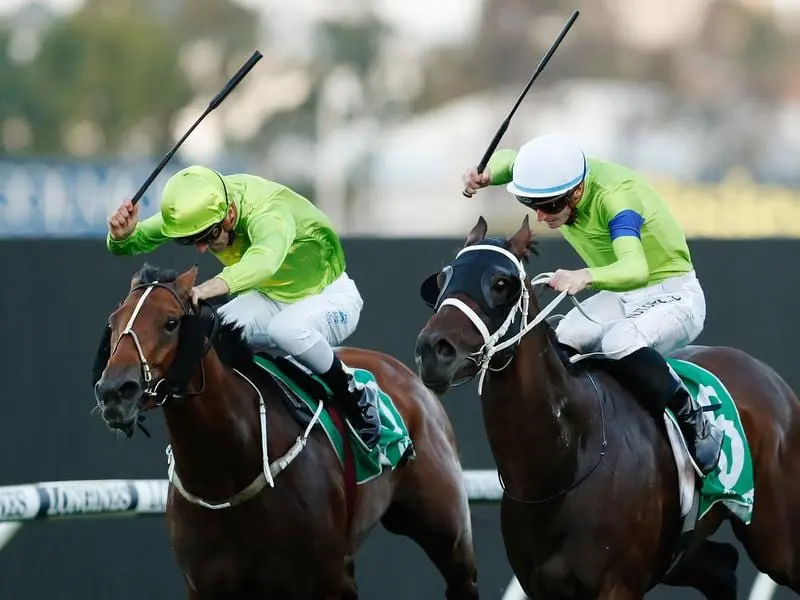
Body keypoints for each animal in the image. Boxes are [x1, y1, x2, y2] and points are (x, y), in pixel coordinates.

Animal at [94, 264, 482, 600]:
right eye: (113, 323)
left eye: (171, 323)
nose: (115, 391)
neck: (227, 472)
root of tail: (410, 376)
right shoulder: (205, 586)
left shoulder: (322, 581)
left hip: (448, 532)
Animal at [416, 216, 800, 600]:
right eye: (442, 280)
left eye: (500, 283)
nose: (434, 350)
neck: (561, 465)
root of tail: (769, 377)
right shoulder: (539, 584)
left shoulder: (617, 585)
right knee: (723, 567)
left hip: (777, 542)